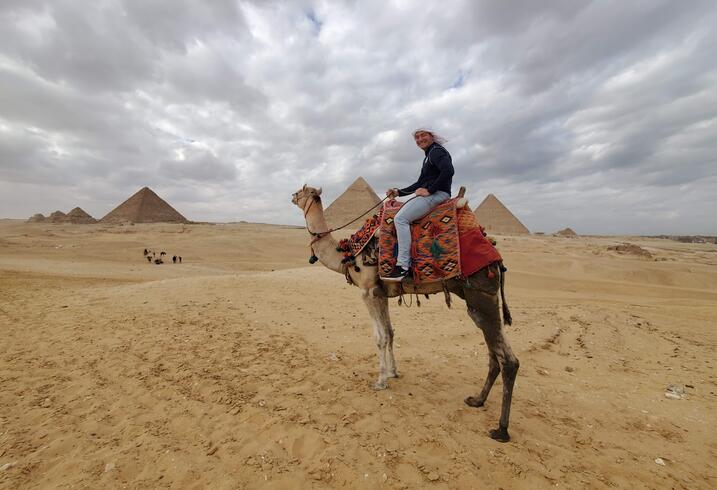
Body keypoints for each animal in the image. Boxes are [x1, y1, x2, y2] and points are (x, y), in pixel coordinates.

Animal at [290, 186, 520, 442]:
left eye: (302, 191)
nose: (292, 196)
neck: (348, 254)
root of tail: (495, 255)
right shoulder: (381, 293)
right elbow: (390, 333)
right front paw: (393, 373)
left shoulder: (368, 292)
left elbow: (380, 338)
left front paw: (380, 381)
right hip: (478, 302)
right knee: (494, 354)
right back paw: (477, 400)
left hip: (482, 297)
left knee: (508, 360)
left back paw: (501, 429)